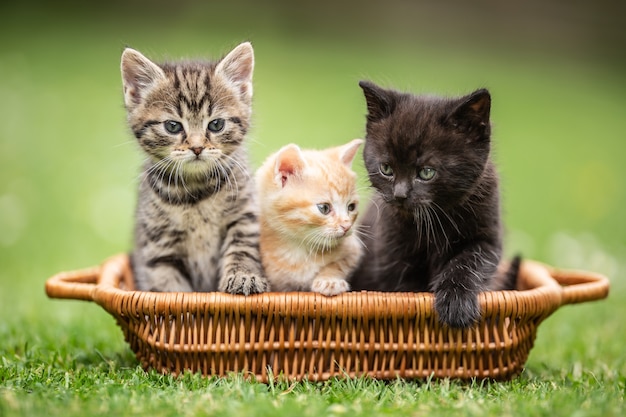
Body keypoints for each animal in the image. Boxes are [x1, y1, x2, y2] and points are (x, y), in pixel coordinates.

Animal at [120, 42, 266, 294]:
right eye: (172, 126)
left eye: (216, 124)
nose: (197, 148)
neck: (196, 190)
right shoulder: (158, 248)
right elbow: (167, 285)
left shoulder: (244, 216)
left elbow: (242, 249)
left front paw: (243, 276)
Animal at [256, 138, 364, 294]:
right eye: (324, 208)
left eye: (351, 207)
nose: (347, 226)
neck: (300, 249)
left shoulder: (353, 250)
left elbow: (338, 264)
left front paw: (329, 280)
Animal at [348, 81, 516, 328]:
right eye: (386, 169)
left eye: (427, 172)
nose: (399, 194)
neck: (437, 221)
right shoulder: (391, 251)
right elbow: (404, 290)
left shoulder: (488, 237)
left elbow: (469, 262)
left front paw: (456, 305)